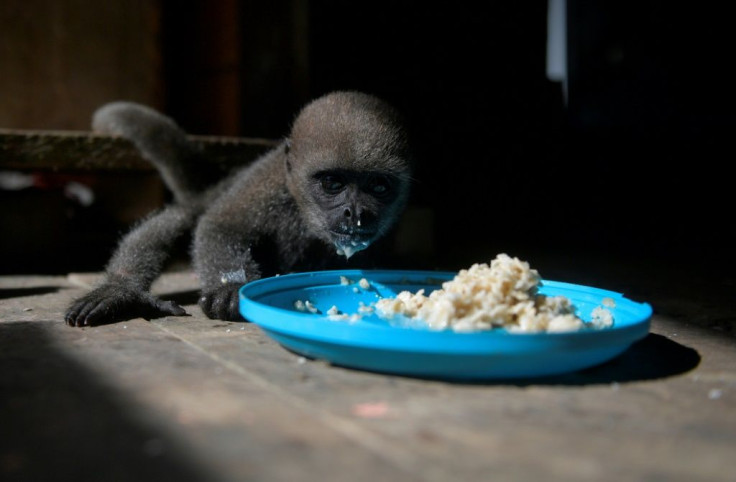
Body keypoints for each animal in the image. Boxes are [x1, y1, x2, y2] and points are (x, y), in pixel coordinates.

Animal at [65, 91, 412, 324]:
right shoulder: (269, 183)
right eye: (331, 183)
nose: (356, 212)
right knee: (184, 219)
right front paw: (231, 287)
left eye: (379, 186)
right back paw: (120, 292)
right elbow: (222, 224)